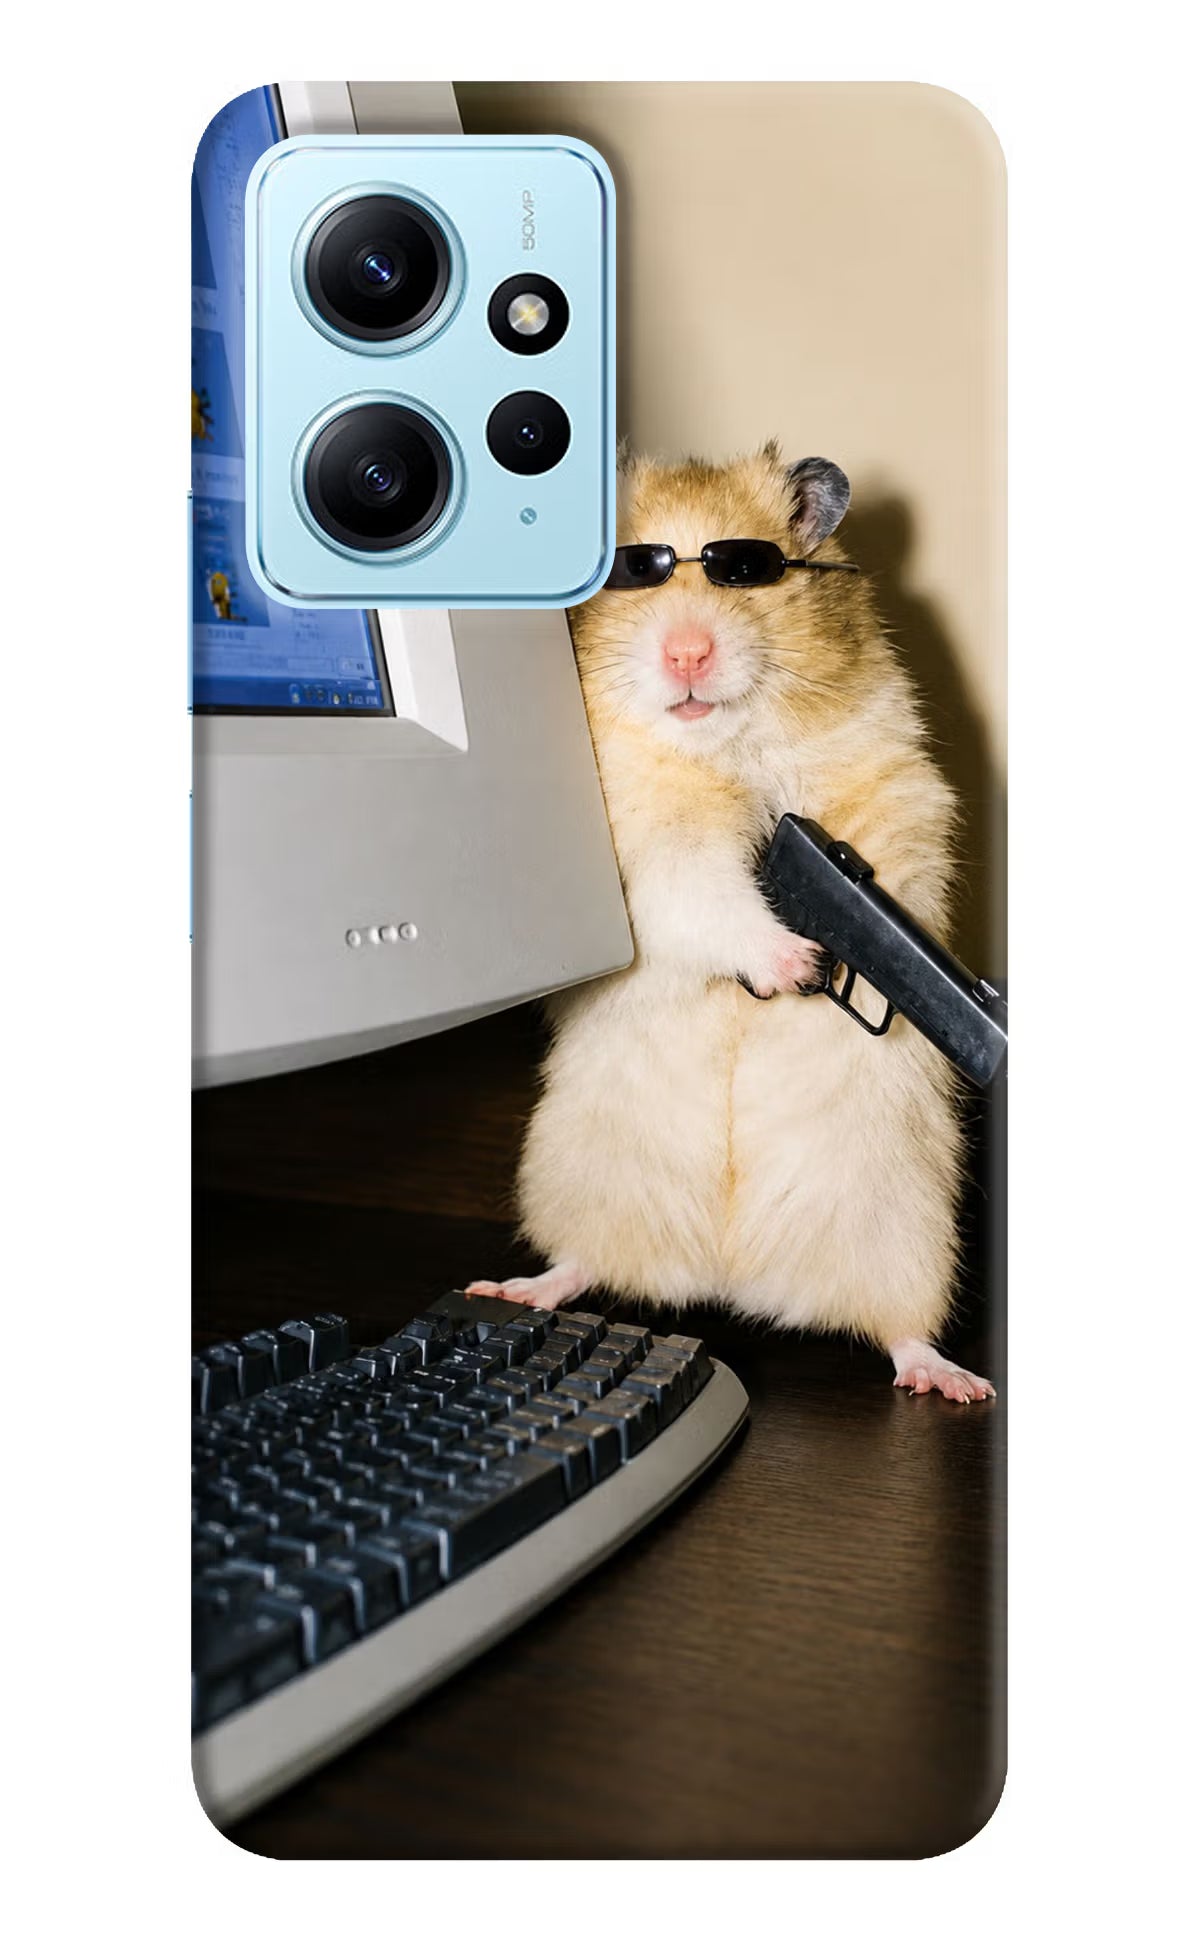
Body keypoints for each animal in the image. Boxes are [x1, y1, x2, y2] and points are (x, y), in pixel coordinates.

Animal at [468, 446, 994, 1403]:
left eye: (746, 571)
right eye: (632, 572)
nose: (687, 652)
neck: (725, 746)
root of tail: (730, 1276)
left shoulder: (896, 789)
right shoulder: (649, 851)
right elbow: (707, 895)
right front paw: (797, 964)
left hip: (908, 1229)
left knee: (900, 1329)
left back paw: (953, 1381)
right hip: (578, 1176)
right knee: (582, 1263)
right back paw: (514, 1288)